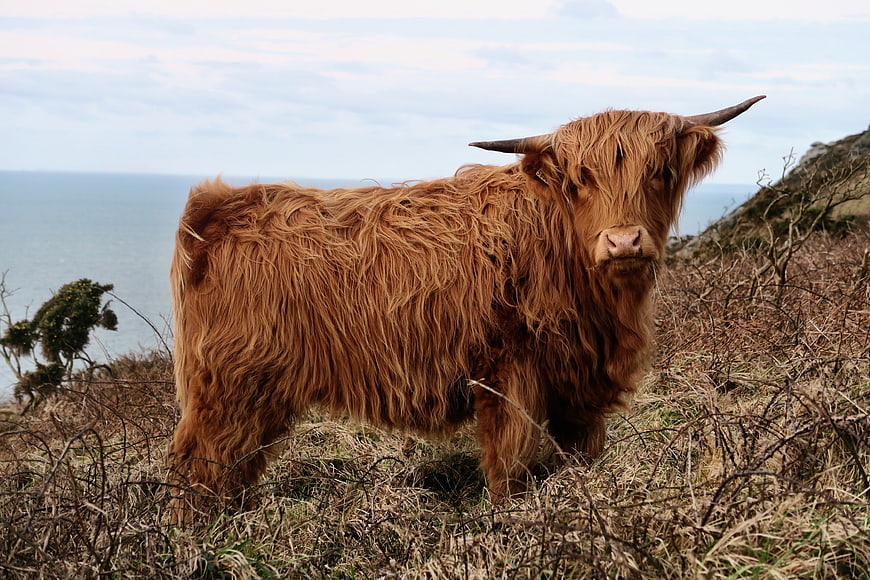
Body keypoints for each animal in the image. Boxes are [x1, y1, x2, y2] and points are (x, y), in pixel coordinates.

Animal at [167, 96, 764, 518]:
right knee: (201, 464)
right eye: (580, 180)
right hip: (231, 386)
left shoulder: (580, 386)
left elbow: (582, 457)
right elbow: (511, 464)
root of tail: (220, 206)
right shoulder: (508, 373)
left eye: (659, 172)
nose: (623, 242)